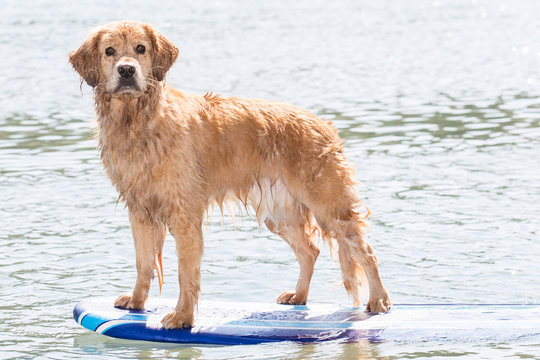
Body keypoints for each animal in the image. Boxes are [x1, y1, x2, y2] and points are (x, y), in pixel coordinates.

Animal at [70, 19, 392, 330]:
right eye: (109, 51)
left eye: (141, 49)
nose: (126, 70)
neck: (137, 120)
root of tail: (324, 123)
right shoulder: (139, 209)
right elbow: (143, 262)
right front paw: (137, 302)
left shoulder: (185, 213)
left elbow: (186, 271)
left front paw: (182, 317)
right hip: (280, 212)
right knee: (309, 250)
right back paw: (299, 296)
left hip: (328, 205)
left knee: (366, 251)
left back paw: (378, 300)